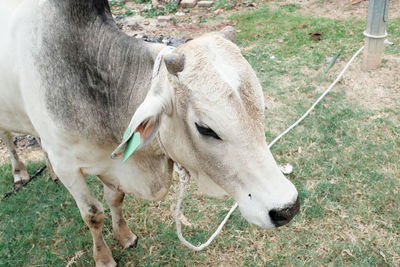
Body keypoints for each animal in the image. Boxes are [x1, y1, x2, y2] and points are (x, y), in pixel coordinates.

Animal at [0, 1, 300, 266]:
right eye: (205, 128)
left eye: (260, 110)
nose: (288, 207)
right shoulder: (69, 168)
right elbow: (93, 214)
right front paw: (104, 258)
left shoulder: (113, 166)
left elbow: (115, 199)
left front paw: (124, 236)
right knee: (8, 138)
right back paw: (19, 172)